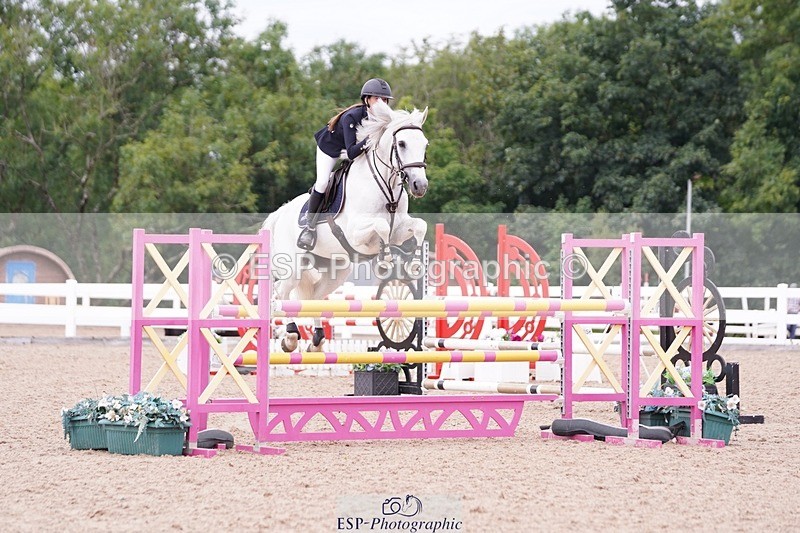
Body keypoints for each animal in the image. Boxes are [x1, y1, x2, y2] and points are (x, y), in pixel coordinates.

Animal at [262, 100, 430, 352]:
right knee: (281, 294)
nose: (420, 186)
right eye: (401, 143)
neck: (386, 188)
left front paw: (415, 260)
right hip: (292, 265)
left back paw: (317, 341)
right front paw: (386, 259)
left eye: (425, 144)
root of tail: (280, 213)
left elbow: (420, 226)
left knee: (312, 298)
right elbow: (381, 226)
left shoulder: (399, 228)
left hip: (336, 271)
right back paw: (290, 337)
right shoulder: (356, 233)